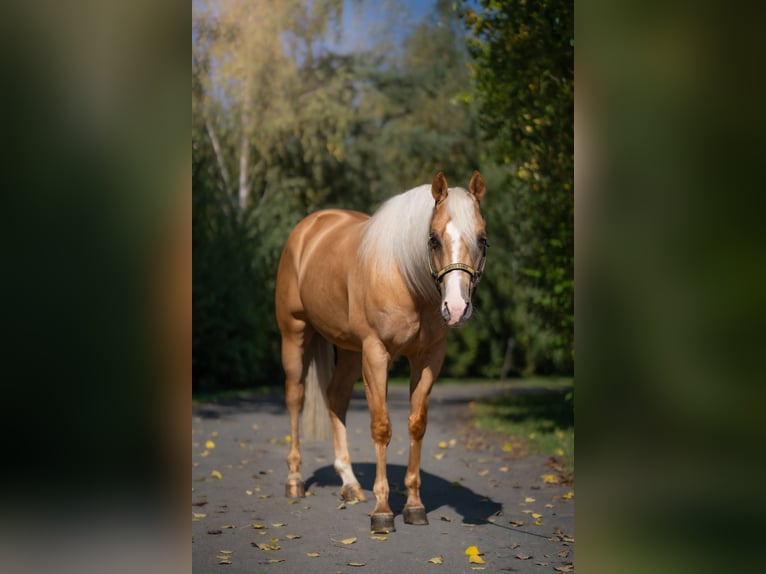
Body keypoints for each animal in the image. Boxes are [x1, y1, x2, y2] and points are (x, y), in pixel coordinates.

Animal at [274, 171, 488, 533]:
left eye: (482, 239)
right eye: (433, 239)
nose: (457, 308)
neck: (405, 278)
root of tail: (307, 230)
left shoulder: (429, 357)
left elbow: (416, 424)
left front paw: (414, 506)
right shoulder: (376, 353)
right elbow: (382, 427)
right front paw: (383, 511)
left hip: (349, 350)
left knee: (336, 398)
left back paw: (349, 484)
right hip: (295, 334)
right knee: (295, 398)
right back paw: (294, 481)